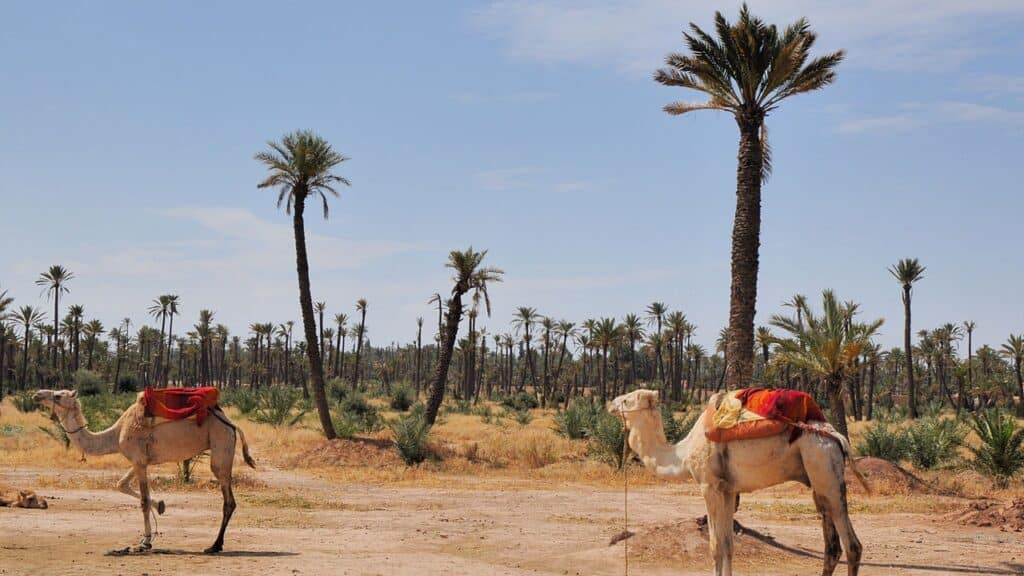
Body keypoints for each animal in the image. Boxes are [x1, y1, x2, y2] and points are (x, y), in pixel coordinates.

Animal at [33, 389, 255, 553]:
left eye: (58, 395)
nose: (36, 394)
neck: (116, 434)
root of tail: (231, 423)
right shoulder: (139, 461)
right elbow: (122, 485)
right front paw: (161, 506)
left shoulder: (139, 460)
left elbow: (143, 501)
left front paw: (146, 541)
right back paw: (216, 544)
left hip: (220, 444)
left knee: (228, 499)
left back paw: (214, 546)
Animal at [609, 389, 866, 576]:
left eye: (627, 399)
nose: (609, 404)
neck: (681, 454)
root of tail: (837, 437)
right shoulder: (728, 490)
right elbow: (728, 545)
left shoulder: (709, 487)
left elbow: (715, 547)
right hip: (819, 478)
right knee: (832, 547)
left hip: (824, 466)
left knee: (852, 546)